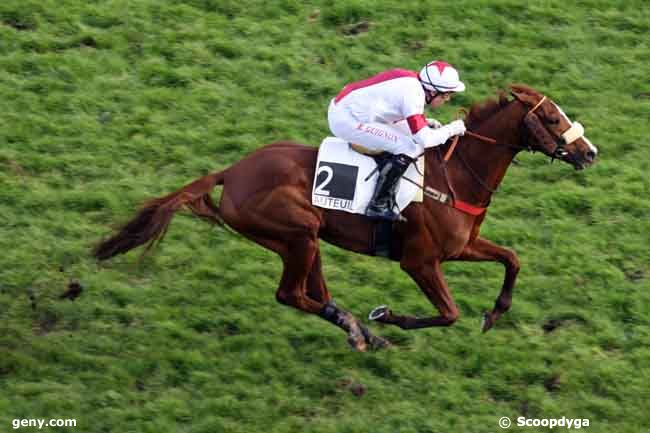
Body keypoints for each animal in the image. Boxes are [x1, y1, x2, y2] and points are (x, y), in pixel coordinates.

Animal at [93, 84, 596, 352]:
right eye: (553, 119)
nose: (590, 152)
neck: (455, 175)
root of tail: (231, 172)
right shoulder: (420, 261)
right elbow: (449, 313)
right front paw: (388, 315)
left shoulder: (463, 246)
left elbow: (512, 258)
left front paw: (496, 312)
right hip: (297, 233)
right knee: (291, 294)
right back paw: (364, 329)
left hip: (303, 238)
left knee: (312, 293)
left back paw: (358, 331)